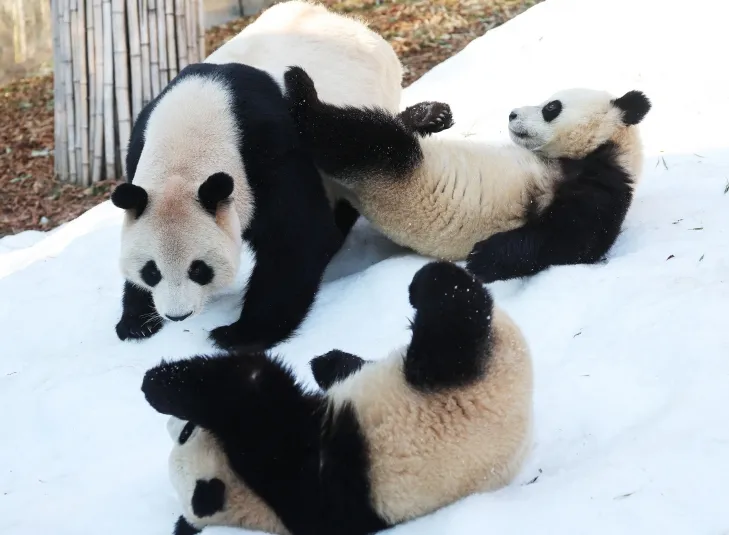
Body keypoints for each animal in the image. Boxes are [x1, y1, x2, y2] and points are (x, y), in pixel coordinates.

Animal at [109, 1, 404, 352]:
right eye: (151, 271)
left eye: (199, 269)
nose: (177, 315)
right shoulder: (138, 144)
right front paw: (135, 320)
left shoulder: (267, 149)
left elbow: (296, 237)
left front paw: (239, 333)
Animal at [142, 262, 532, 535]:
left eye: (187, 432)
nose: (172, 425)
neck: (256, 506)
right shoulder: (312, 485)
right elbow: (255, 395)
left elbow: (248, 396)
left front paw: (157, 385)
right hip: (459, 382)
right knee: (455, 320)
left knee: (449, 312)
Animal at [282, 66, 652, 284]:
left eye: (551, 108)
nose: (512, 114)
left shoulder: (602, 182)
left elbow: (570, 240)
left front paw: (484, 257)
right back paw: (430, 115)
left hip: (391, 173)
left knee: (357, 139)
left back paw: (300, 88)